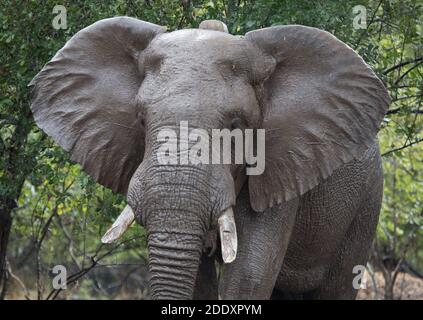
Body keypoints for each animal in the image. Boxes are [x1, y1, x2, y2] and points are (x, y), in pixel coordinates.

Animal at [29, 16, 390, 298]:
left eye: (236, 126)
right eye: (141, 121)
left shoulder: (281, 164)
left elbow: (248, 274)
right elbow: (199, 280)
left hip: (365, 202)